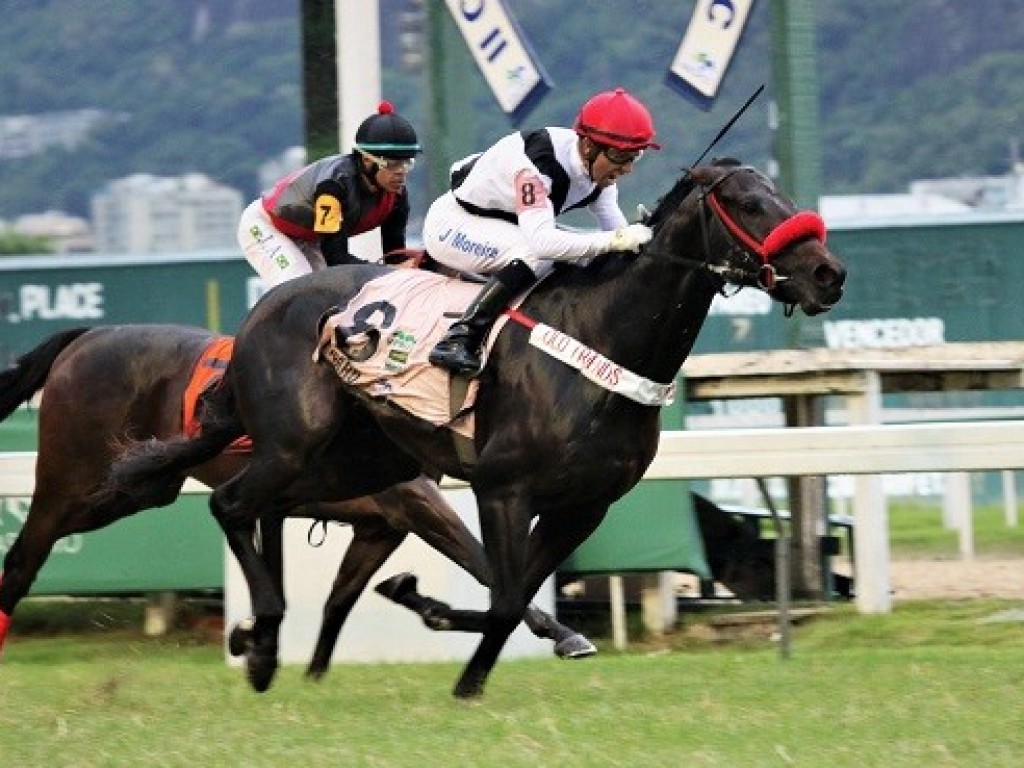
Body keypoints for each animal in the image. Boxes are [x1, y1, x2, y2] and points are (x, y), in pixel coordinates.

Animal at [0, 325, 593, 667]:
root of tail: (87, 337)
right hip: (75, 482)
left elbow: (340, 595)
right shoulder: (415, 502)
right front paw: (564, 634)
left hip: (139, 485)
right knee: (25, 555)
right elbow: (484, 563)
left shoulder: (380, 524)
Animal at [99, 159, 843, 700]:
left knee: (267, 508)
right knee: (231, 504)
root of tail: (262, 311)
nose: (827, 273)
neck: (600, 336)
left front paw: (441, 627)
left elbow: (510, 599)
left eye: (779, 193)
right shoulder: (503, 488)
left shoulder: (584, 505)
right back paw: (262, 635)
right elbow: (507, 596)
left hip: (362, 462)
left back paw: (260, 644)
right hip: (296, 440)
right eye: (749, 203)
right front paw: (454, 649)